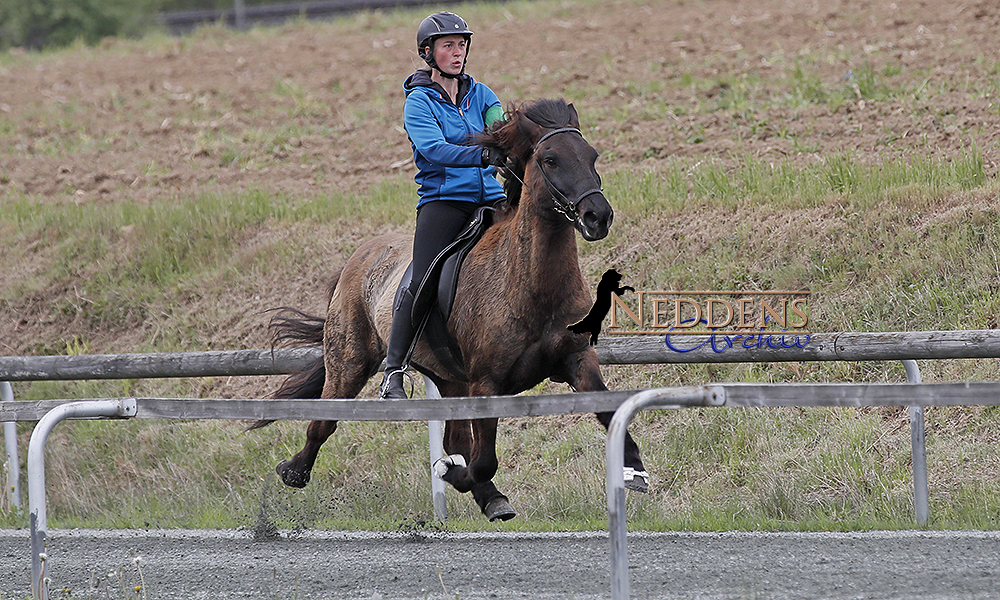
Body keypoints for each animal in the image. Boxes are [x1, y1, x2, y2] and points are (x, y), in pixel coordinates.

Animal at [260, 98, 648, 520]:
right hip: (350, 362)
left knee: (453, 439)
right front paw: (452, 474)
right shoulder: (486, 383)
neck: (532, 286)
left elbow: (610, 413)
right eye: (550, 159)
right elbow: (483, 460)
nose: (598, 216)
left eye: (592, 156)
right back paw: (295, 470)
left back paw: (488, 496)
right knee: (325, 420)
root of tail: (357, 258)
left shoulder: (577, 360)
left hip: (449, 379)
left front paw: (633, 470)